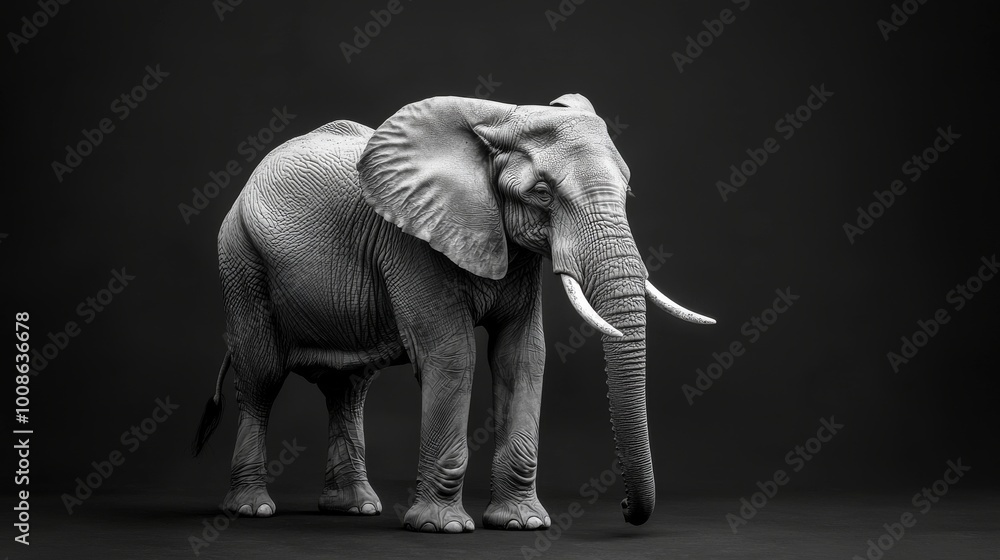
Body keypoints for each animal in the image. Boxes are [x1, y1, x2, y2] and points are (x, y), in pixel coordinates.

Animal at [191, 93, 715, 533]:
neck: (501, 118)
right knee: (261, 376)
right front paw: (441, 528)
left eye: (627, 192)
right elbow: (452, 354)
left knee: (349, 387)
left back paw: (356, 508)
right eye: (543, 194)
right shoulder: (410, 239)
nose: (626, 509)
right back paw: (251, 509)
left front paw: (522, 524)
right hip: (240, 257)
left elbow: (523, 356)